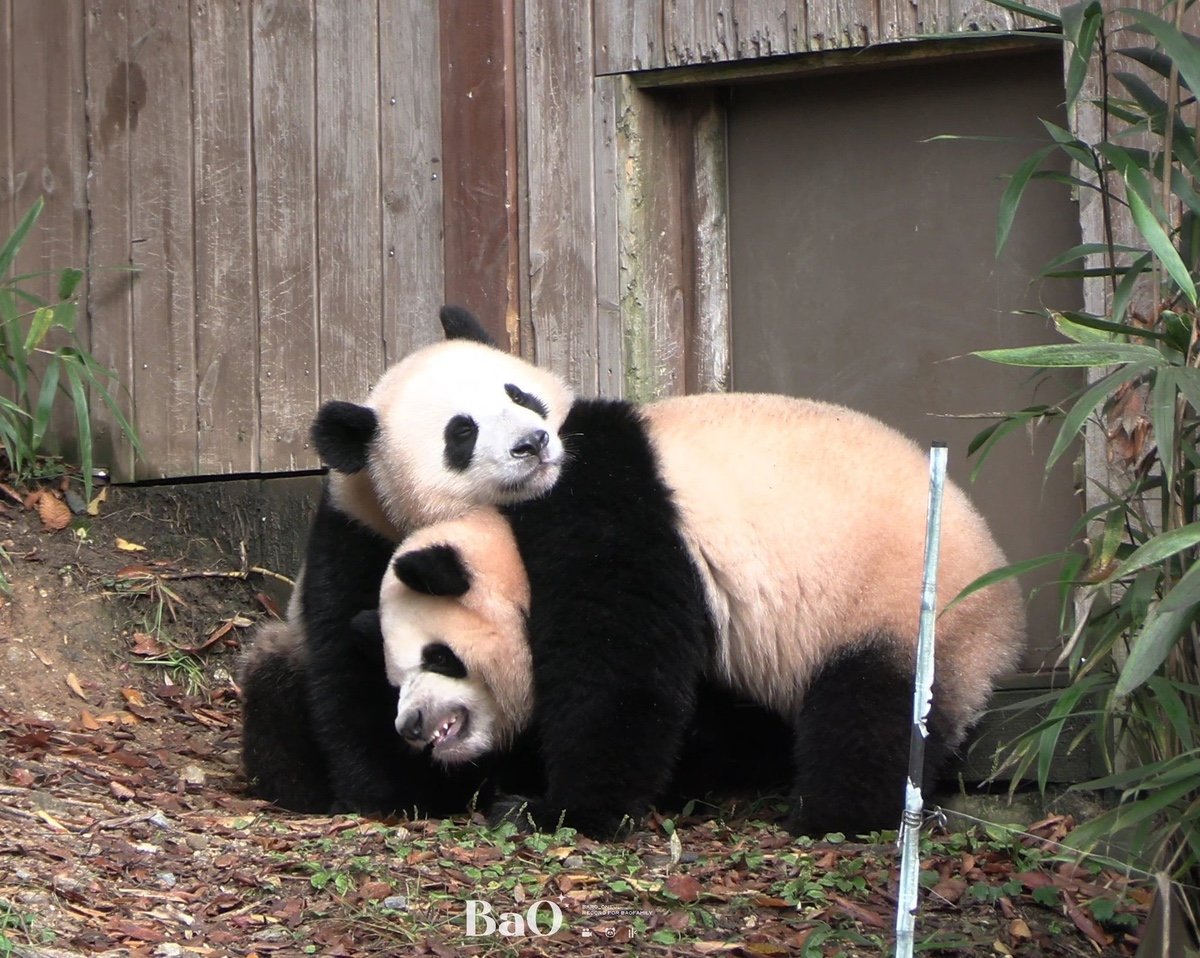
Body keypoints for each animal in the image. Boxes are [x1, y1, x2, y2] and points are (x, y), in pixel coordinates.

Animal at [236, 303, 573, 816]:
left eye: (519, 395)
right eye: (462, 432)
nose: (532, 443)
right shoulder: (355, 541)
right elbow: (353, 666)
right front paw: (392, 793)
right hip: (285, 653)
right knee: (271, 686)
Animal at [280, 309, 1022, 840]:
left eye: (442, 658)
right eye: (460, 433)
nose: (533, 444)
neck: (509, 534)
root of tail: (1003, 589)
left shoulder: (611, 509)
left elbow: (620, 667)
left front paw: (553, 809)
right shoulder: (358, 528)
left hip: (897, 603)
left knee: (873, 707)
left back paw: (835, 813)